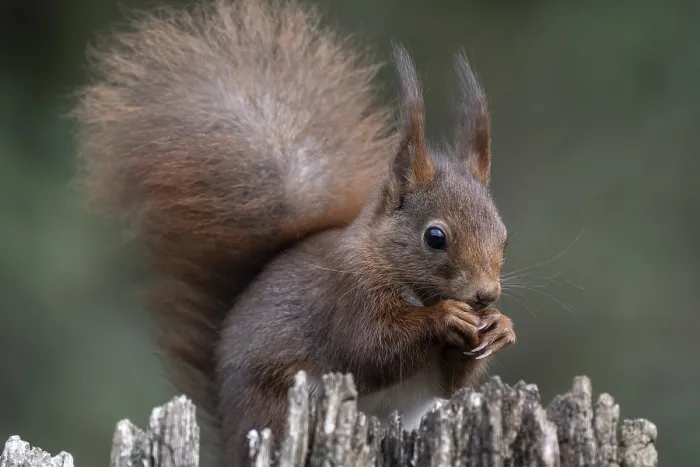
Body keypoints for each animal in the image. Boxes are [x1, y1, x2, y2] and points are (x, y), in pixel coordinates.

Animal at [73, 0, 515, 465]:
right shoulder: (346, 299)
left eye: (504, 236)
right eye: (435, 237)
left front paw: (499, 327)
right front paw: (446, 316)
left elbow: (452, 383)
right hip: (273, 408)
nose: (486, 294)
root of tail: (229, 434)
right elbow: (371, 348)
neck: (385, 261)